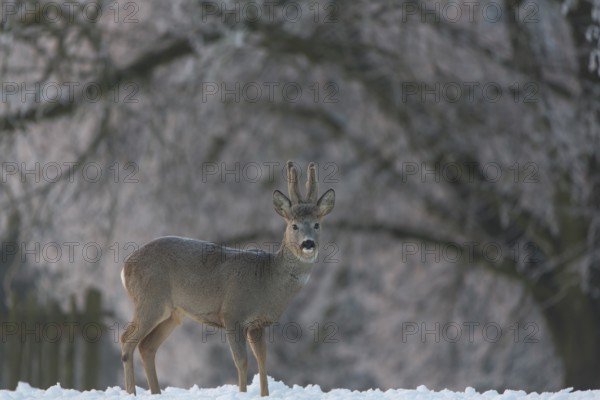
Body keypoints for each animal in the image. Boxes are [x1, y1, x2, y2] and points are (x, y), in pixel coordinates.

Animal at [119, 160, 336, 396]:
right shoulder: (233, 314)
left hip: (172, 314)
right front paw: (242, 393)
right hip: (150, 300)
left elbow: (263, 361)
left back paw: (155, 392)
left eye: (317, 224)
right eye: (294, 225)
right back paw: (131, 392)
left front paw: (264, 394)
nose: (308, 243)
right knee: (126, 339)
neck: (266, 279)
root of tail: (125, 266)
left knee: (147, 346)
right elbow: (241, 361)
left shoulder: (257, 324)